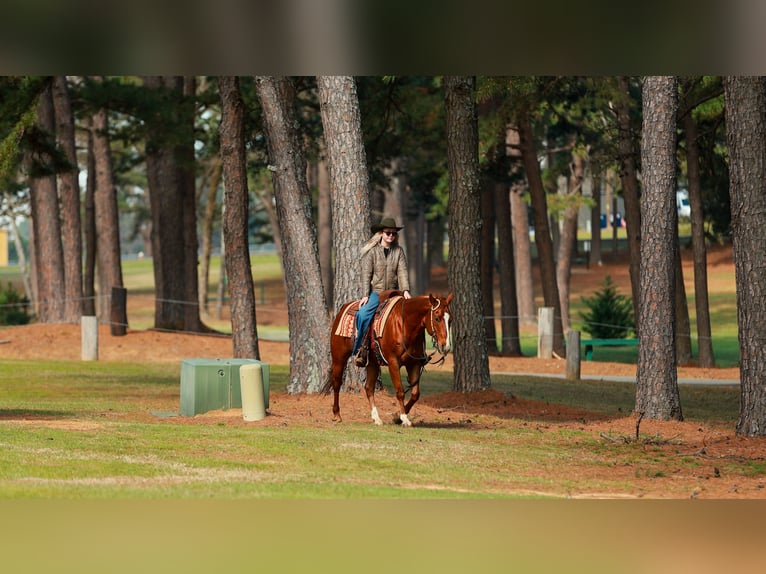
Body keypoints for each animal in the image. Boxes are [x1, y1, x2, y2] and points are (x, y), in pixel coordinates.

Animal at [323, 290, 453, 427]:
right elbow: (400, 391)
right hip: (339, 357)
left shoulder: (414, 364)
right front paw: (404, 418)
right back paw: (337, 415)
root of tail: (342, 309)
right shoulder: (393, 362)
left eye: (450, 320)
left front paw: (397, 417)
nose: (446, 346)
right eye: (437, 318)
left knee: (369, 387)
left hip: (373, 363)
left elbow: (415, 394)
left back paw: (376, 418)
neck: (404, 325)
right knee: (337, 383)